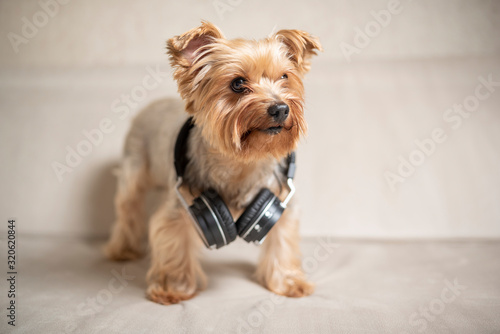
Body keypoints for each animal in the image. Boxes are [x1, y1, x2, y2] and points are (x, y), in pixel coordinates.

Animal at [104, 20, 322, 302]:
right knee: (127, 208)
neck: (242, 161)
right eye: (238, 83)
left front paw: (288, 282)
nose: (281, 108)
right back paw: (122, 249)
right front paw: (174, 287)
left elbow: (282, 239)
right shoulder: (181, 206)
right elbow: (175, 243)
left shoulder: (278, 200)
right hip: (134, 167)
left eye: (285, 77)